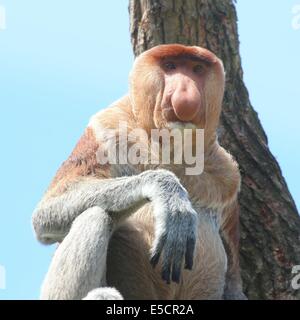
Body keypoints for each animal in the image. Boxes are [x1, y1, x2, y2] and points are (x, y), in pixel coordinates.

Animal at [32, 44, 246, 300]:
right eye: (170, 66)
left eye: (197, 69)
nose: (185, 92)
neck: (173, 151)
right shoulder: (106, 125)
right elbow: (47, 210)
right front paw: (168, 194)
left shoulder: (228, 177)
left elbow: (234, 281)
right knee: (94, 215)